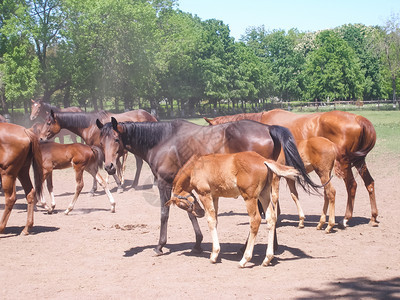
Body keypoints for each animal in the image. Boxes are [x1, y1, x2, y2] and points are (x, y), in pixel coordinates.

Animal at [95, 118, 320, 255]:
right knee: (270, 212)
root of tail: (268, 128)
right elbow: (191, 212)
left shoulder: (164, 183)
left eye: (116, 139)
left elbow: (164, 214)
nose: (109, 166)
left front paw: (160, 245)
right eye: (101, 141)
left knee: (262, 214)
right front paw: (197, 243)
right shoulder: (184, 186)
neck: (162, 141)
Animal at [166, 152, 300, 268]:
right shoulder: (215, 196)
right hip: (264, 194)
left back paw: (244, 259)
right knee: (271, 218)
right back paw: (267, 258)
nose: (200, 213)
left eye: (182, 205)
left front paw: (214, 255)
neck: (195, 166)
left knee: (255, 220)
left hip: (250, 197)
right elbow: (215, 220)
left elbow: (210, 221)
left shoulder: (205, 194)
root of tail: (263, 160)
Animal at [206, 109, 378, 229]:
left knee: (351, 186)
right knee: (369, 183)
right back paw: (373, 217)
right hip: (359, 162)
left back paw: (345, 219)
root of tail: (359, 118)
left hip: (344, 163)